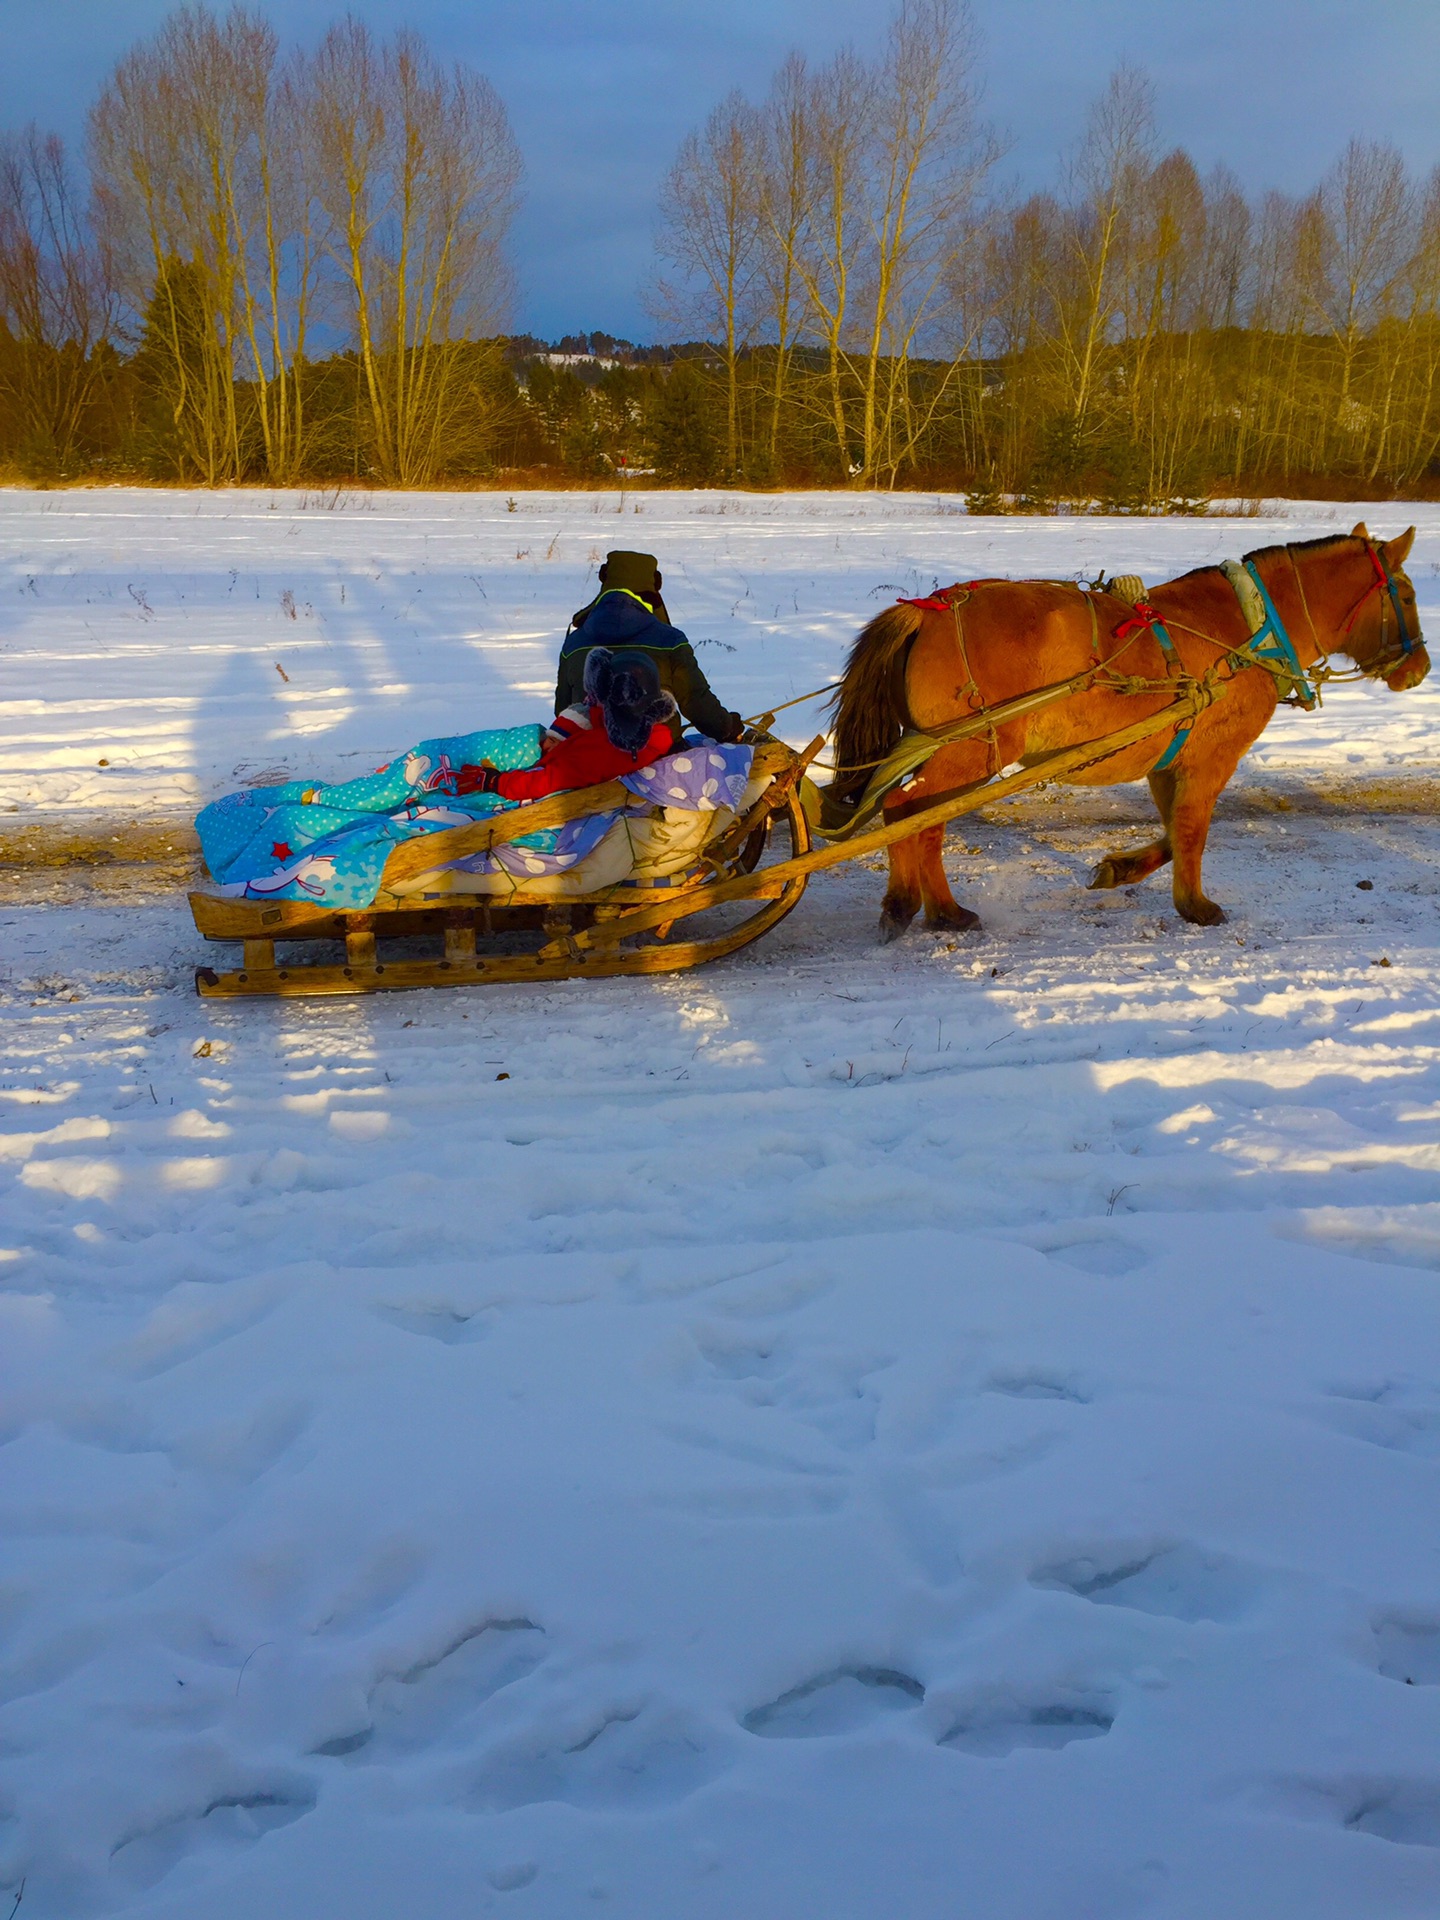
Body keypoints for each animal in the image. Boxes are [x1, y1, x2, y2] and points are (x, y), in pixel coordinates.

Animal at [833, 526, 1436, 936]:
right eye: (1406, 595)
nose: (1420, 668)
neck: (1250, 627)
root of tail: (928, 611)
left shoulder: (1168, 761)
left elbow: (1172, 833)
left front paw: (1118, 870)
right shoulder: (1212, 758)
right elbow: (1192, 831)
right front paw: (1195, 906)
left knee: (908, 815)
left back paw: (922, 905)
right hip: (973, 751)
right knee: (912, 815)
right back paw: (929, 908)